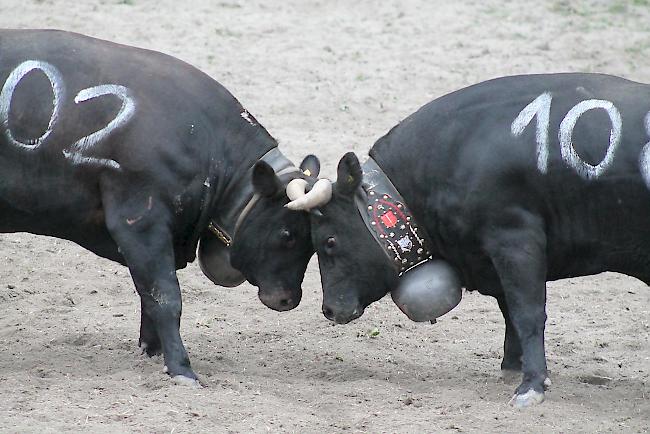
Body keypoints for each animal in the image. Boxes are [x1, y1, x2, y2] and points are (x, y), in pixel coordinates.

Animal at [0, 28, 324, 384]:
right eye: (287, 234)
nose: (288, 299)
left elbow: (148, 293)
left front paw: (153, 351)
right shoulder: (140, 222)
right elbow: (165, 296)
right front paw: (181, 368)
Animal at [298, 73, 648, 408]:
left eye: (329, 241)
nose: (329, 309)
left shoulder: (515, 239)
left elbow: (527, 311)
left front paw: (532, 384)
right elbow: (509, 310)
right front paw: (512, 367)